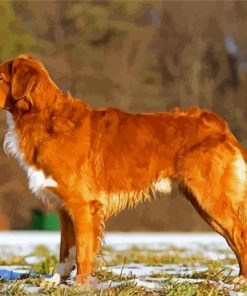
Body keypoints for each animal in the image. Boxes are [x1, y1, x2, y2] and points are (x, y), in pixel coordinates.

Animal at [0, 55, 247, 284]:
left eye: (0, 78)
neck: (43, 118)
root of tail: (220, 126)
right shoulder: (65, 208)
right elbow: (65, 251)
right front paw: (57, 281)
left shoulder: (83, 206)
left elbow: (82, 251)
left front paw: (81, 285)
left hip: (212, 200)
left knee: (239, 235)